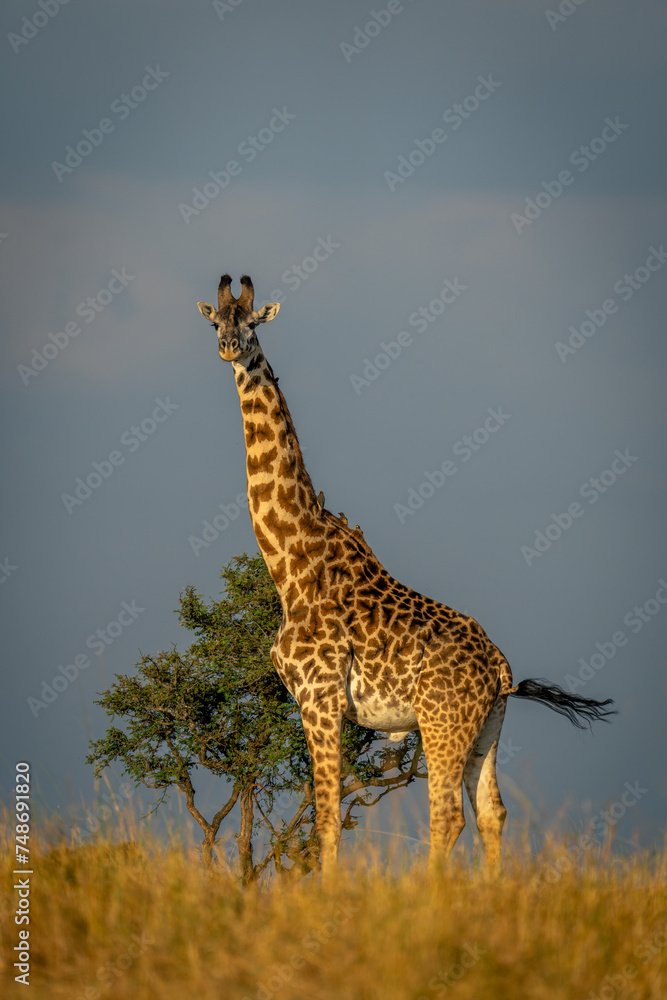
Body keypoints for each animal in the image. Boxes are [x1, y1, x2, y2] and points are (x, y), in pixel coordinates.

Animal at [197, 274, 615, 875]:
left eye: (252, 324)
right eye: (215, 323)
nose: (231, 348)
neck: (291, 565)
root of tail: (502, 671)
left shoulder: (319, 699)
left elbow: (327, 819)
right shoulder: (317, 704)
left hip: (442, 723)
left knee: (449, 814)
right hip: (487, 727)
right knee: (492, 813)